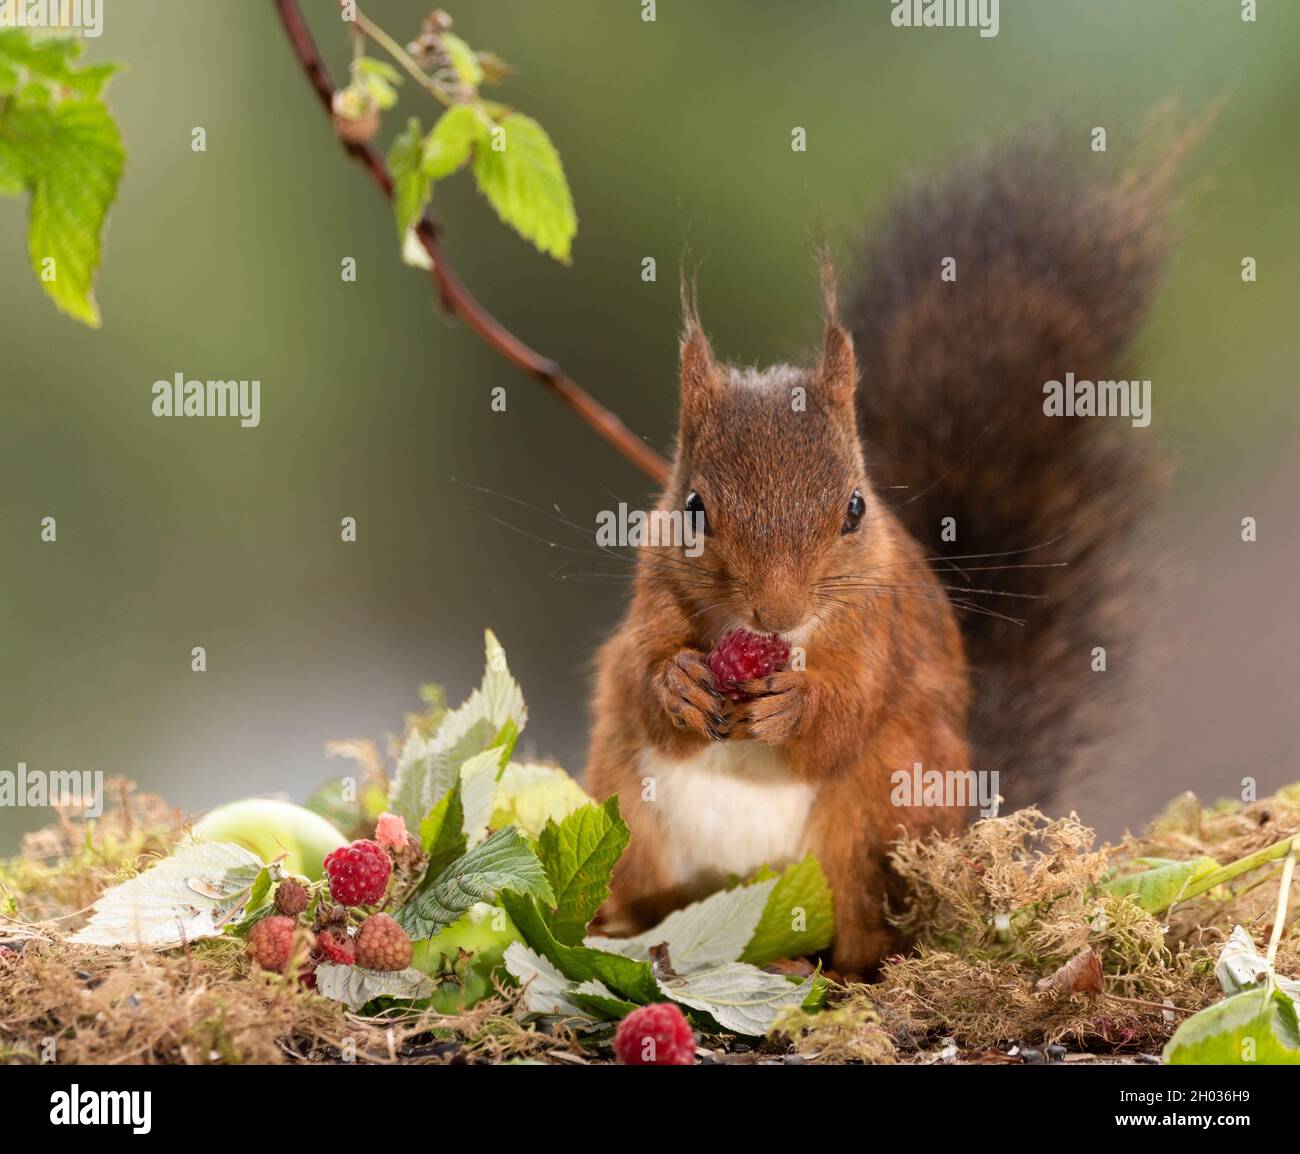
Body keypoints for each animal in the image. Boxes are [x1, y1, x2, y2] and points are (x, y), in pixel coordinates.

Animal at [585, 135, 1177, 973]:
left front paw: (798, 705)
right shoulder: (653, 593)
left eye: (855, 509)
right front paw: (679, 682)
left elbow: (846, 716)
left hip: (874, 820)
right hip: (632, 819)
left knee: (861, 942)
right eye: (693, 511)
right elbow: (637, 676)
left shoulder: (879, 630)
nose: (776, 612)